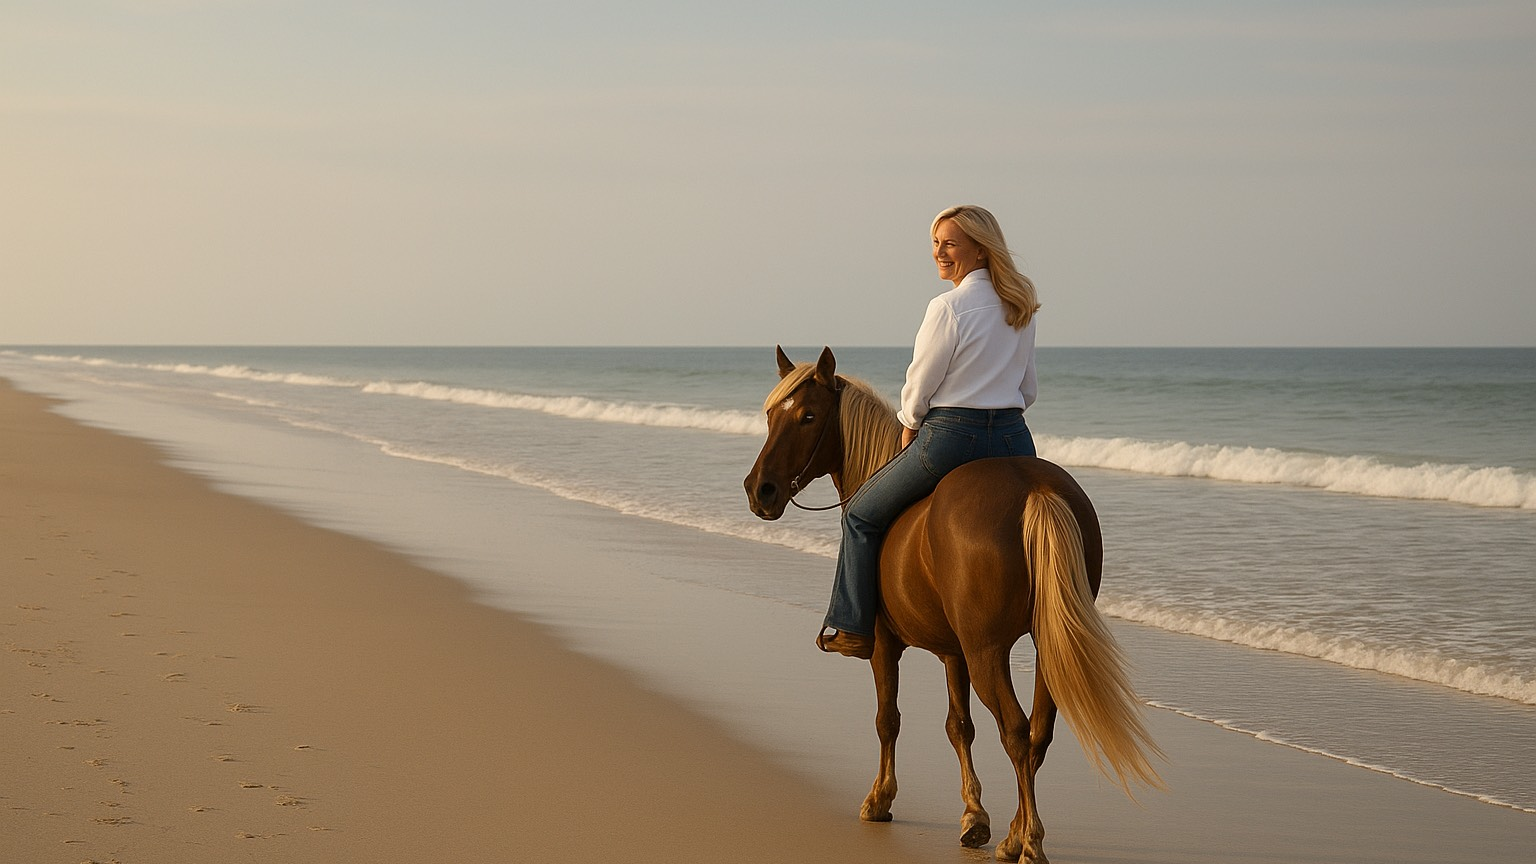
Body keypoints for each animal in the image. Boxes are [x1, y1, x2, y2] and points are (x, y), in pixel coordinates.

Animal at [743, 346, 1161, 863]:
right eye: (769, 416)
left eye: (808, 416)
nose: (760, 490)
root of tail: (1034, 489)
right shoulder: (952, 652)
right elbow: (959, 726)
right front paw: (974, 816)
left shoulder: (886, 645)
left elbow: (888, 719)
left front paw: (880, 799)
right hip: (1046, 646)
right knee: (1038, 733)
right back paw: (1014, 834)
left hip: (988, 654)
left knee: (1016, 731)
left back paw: (1030, 841)